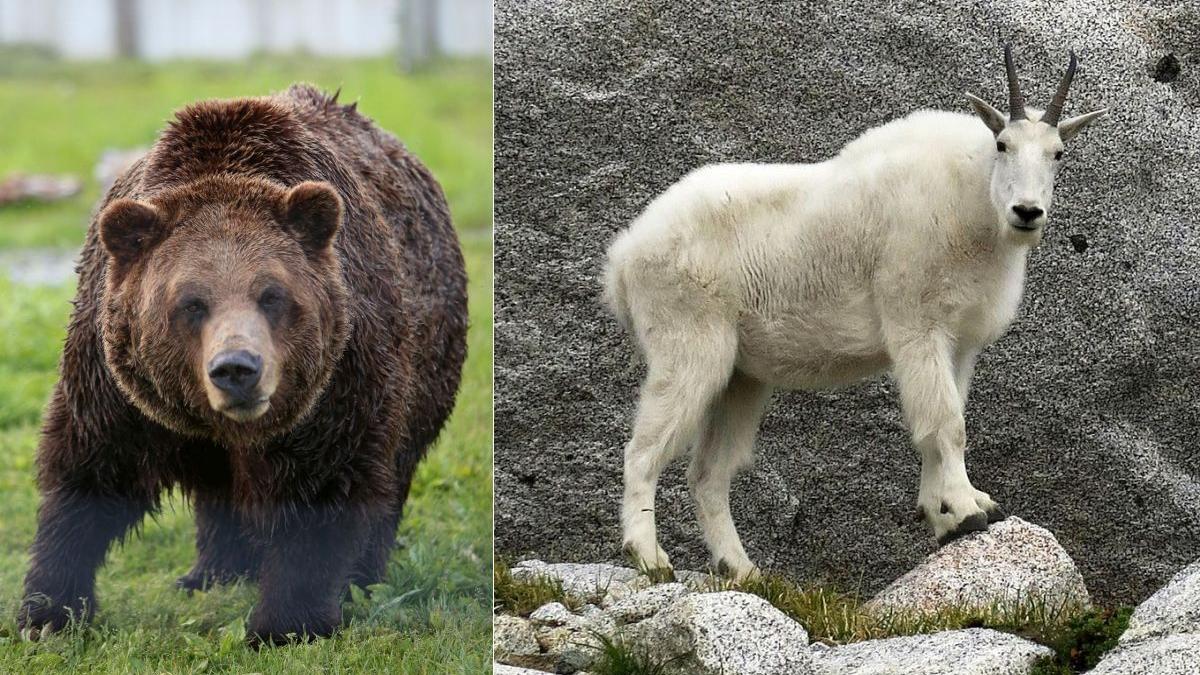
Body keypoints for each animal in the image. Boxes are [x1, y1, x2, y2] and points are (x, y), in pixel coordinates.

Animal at [16, 84, 467, 646]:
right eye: (191, 303)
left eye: (272, 295)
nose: (237, 368)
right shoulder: (117, 387)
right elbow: (88, 471)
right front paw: (46, 611)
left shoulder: (337, 385)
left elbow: (322, 488)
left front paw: (285, 623)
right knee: (219, 495)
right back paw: (210, 574)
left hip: (422, 373)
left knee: (389, 474)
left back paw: (361, 578)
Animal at [603, 46, 1106, 580]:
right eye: (1003, 144)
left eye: (1058, 153)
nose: (1027, 211)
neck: (974, 205)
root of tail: (623, 257)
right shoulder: (916, 325)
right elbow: (947, 422)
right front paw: (969, 509)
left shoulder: (957, 342)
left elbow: (942, 425)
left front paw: (945, 515)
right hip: (688, 346)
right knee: (643, 452)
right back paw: (649, 556)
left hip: (741, 377)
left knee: (709, 474)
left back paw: (741, 568)